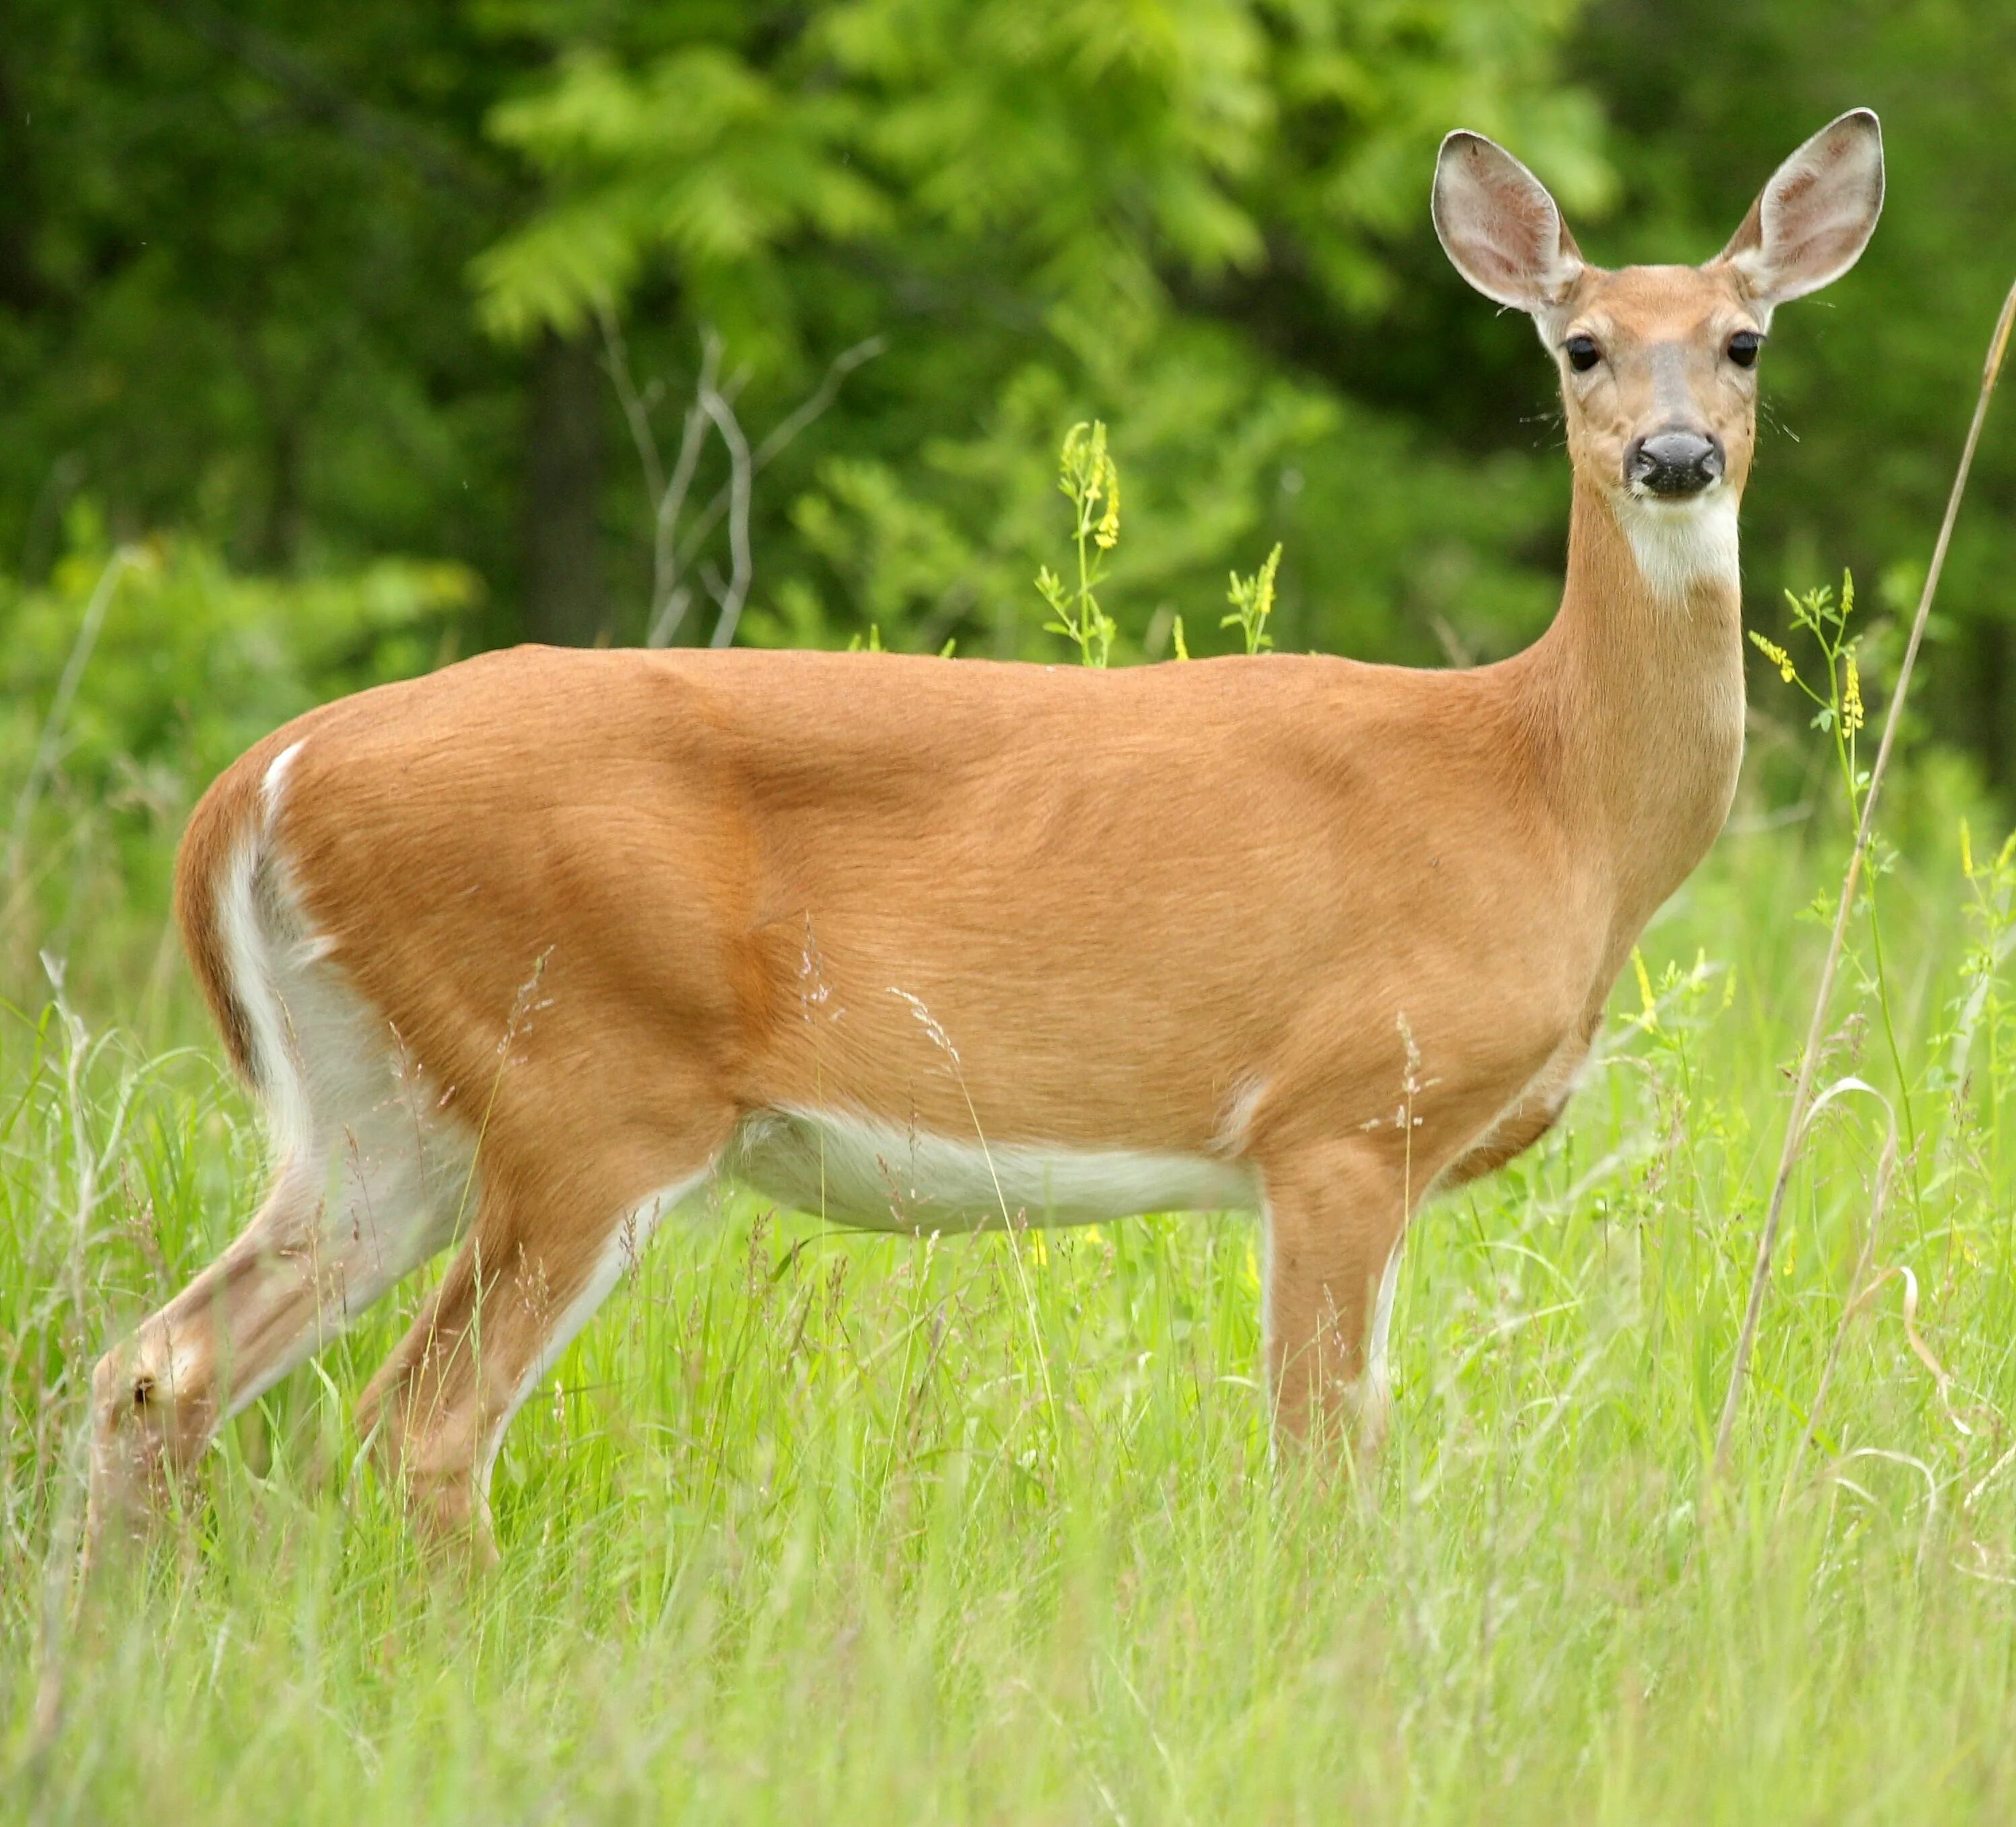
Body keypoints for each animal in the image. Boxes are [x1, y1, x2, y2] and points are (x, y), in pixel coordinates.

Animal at [90, 106, 1887, 1548]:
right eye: (1578, 345)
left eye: (1743, 340)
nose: (1671, 455)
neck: (1542, 788)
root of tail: (263, 776)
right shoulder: (1339, 1115)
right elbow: (1322, 1462)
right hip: (585, 1077)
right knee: (419, 1418)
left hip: (379, 1099)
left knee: (161, 1362)